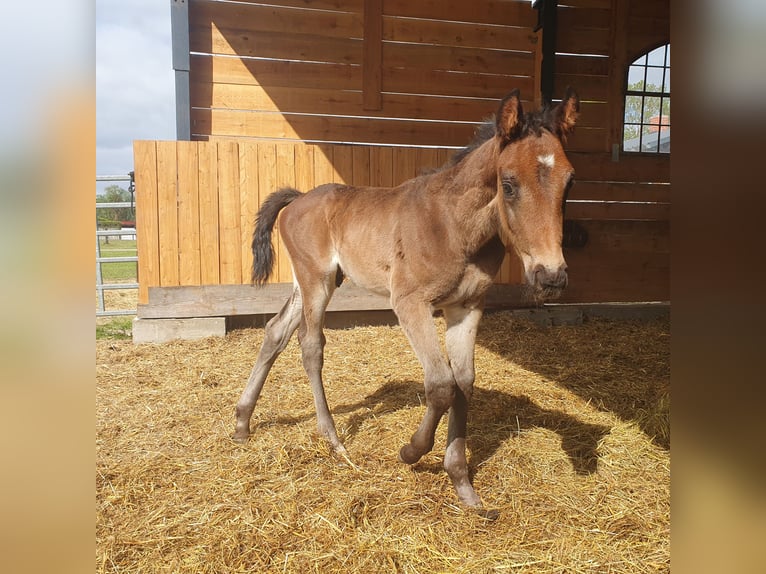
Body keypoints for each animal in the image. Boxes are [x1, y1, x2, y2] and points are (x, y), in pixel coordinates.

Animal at [234, 89, 584, 512]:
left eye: (569, 182)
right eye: (509, 183)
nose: (551, 277)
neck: (454, 226)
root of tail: (299, 198)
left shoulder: (466, 307)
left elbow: (463, 381)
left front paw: (462, 483)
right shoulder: (409, 304)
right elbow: (440, 384)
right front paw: (412, 452)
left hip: (308, 282)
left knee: (275, 332)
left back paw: (242, 422)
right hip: (317, 281)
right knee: (310, 344)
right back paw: (333, 440)